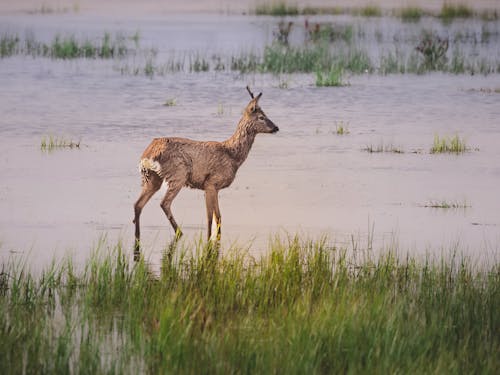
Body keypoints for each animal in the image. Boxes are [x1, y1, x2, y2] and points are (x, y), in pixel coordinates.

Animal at [133, 87, 280, 253]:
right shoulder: (211, 183)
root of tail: (149, 154)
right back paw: (179, 232)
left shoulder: (213, 187)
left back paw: (138, 237)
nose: (276, 127)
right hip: (178, 175)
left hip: (151, 178)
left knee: (138, 204)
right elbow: (211, 217)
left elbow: (218, 216)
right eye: (261, 117)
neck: (232, 155)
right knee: (164, 203)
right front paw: (209, 239)